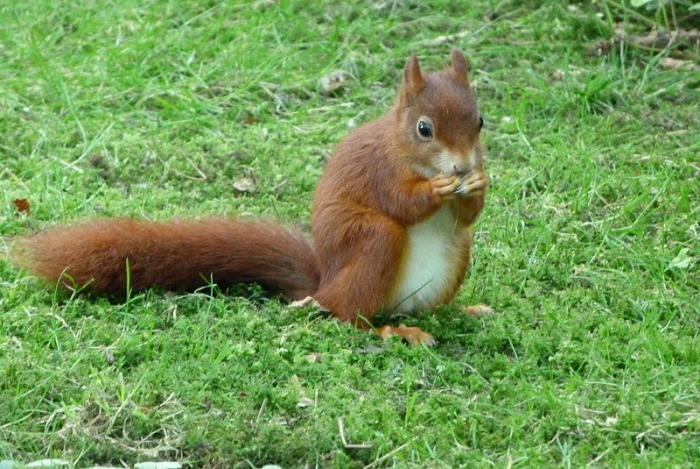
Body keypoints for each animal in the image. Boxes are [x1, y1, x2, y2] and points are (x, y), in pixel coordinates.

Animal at [10, 49, 489, 346]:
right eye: (424, 129)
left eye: (480, 120)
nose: (463, 166)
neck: (408, 153)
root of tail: (323, 285)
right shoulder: (381, 172)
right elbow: (401, 202)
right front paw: (435, 190)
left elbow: (468, 218)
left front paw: (479, 184)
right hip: (373, 244)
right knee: (348, 314)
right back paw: (389, 332)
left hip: (454, 258)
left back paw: (463, 311)